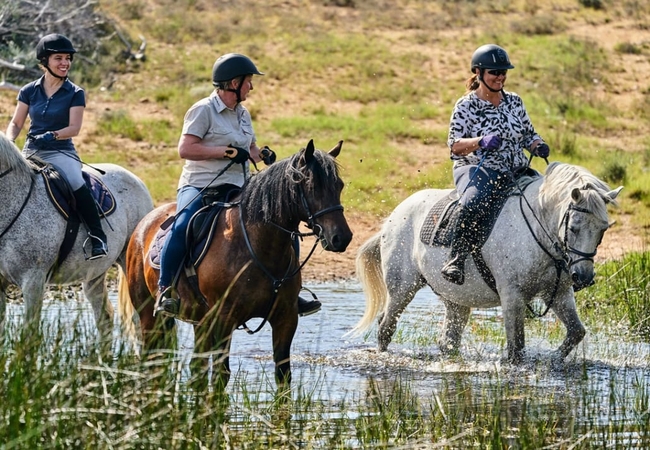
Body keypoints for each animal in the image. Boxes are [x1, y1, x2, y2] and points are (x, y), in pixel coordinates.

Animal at [0, 132, 153, 342]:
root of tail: (136, 179)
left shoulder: (33, 280)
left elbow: (30, 335)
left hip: (128, 263)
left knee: (139, 321)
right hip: (95, 274)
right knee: (105, 317)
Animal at [116, 141, 350, 390]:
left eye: (340, 185)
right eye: (312, 186)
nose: (342, 238)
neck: (258, 248)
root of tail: (144, 222)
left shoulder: (286, 317)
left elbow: (283, 374)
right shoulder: (224, 320)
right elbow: (221, 375)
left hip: (198, 319)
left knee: (194, 367)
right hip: (149, 314)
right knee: (152, 359)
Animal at [352, 162, 620, 362]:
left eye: (603, 229)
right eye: (574, 227)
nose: (583, 277)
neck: (537, 229)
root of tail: (393, 217)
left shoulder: (559, 294)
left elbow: (576, 332)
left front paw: (552, 360)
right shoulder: (512, 295)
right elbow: (516, 349)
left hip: (455, 299)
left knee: (448, 341)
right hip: (402, 289)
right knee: (386, 327)